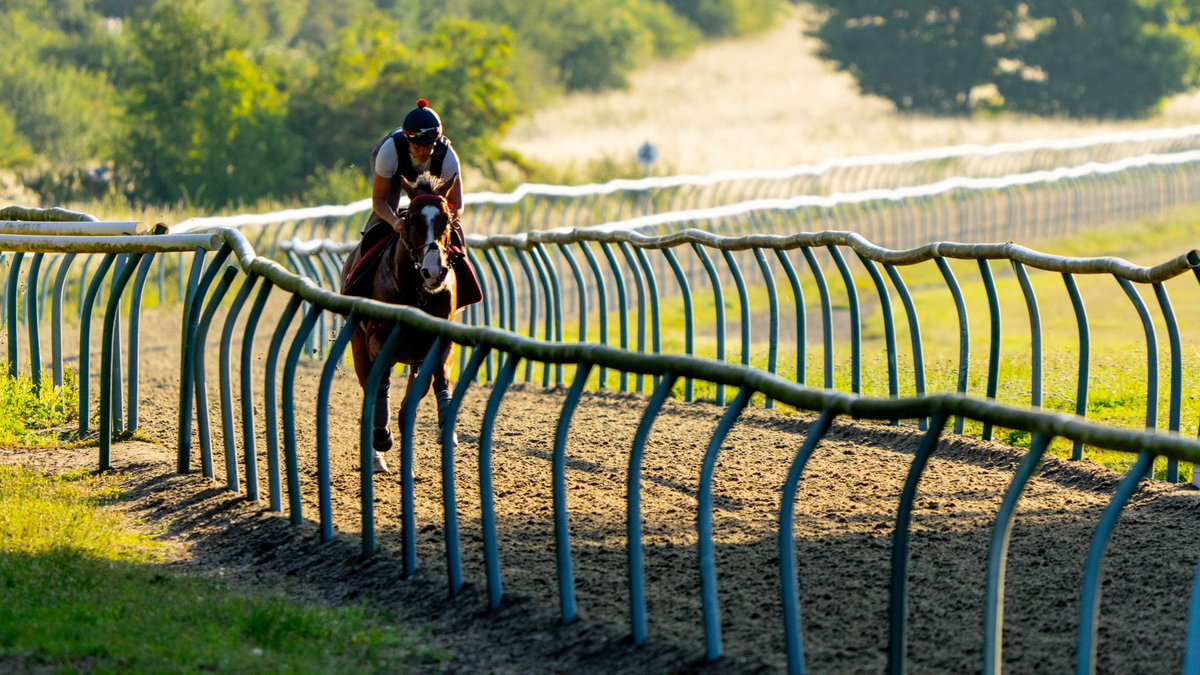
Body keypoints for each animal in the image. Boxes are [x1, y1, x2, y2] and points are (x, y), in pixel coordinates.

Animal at [343, 170, 463, 470]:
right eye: (413, 220)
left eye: (446, 219)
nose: (434, 271)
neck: (416, 292)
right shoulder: (377, 339)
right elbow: (380, 384)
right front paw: (381, 435)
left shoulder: (440, 342)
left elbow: (439, 379)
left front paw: (447, 429)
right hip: (357, 343)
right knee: (370, 389)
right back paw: (376, 453)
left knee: (408, 404)